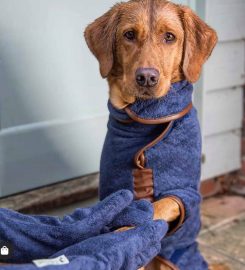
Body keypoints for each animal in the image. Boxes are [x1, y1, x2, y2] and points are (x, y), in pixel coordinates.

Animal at [85, 1, 217, 268]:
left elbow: (156, 207)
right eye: (129, 35)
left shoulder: (184, 194)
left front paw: (124, 232)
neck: (145, 120)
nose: (146, 77)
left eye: (169, 37)